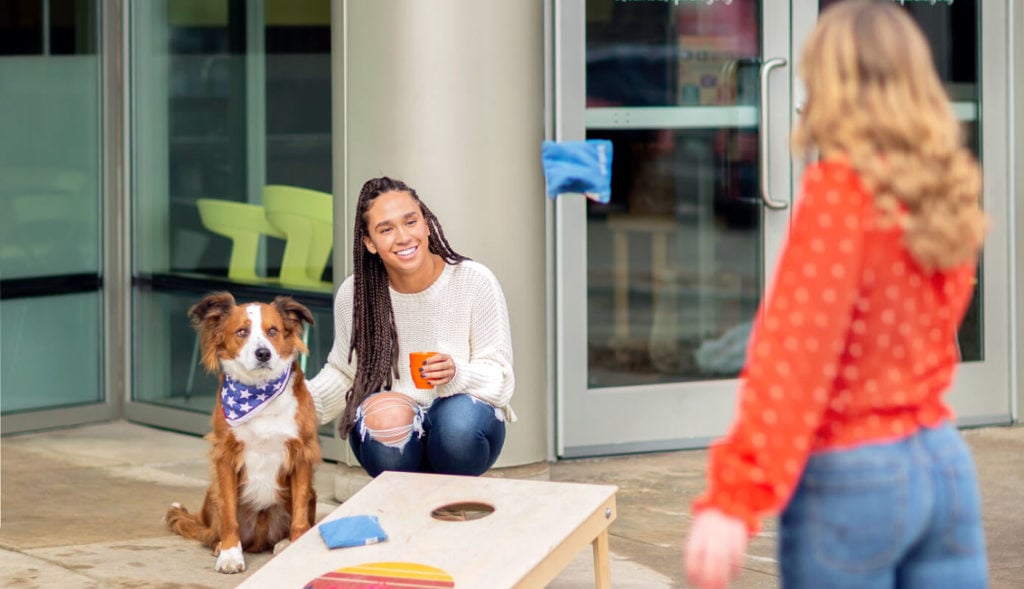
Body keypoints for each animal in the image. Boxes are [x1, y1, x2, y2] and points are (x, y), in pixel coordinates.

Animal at [163, 292, 319, 573]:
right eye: (242, 332)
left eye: (272, 331)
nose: (263, 353)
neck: (258, 392)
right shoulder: (225, 455)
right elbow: (229, 516)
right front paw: (230, 555)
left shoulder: (301, 452)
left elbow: (301, 516)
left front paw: (297, 546)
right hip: (212, 492)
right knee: (213, 530)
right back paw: (219, 545)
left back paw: (284, 544)